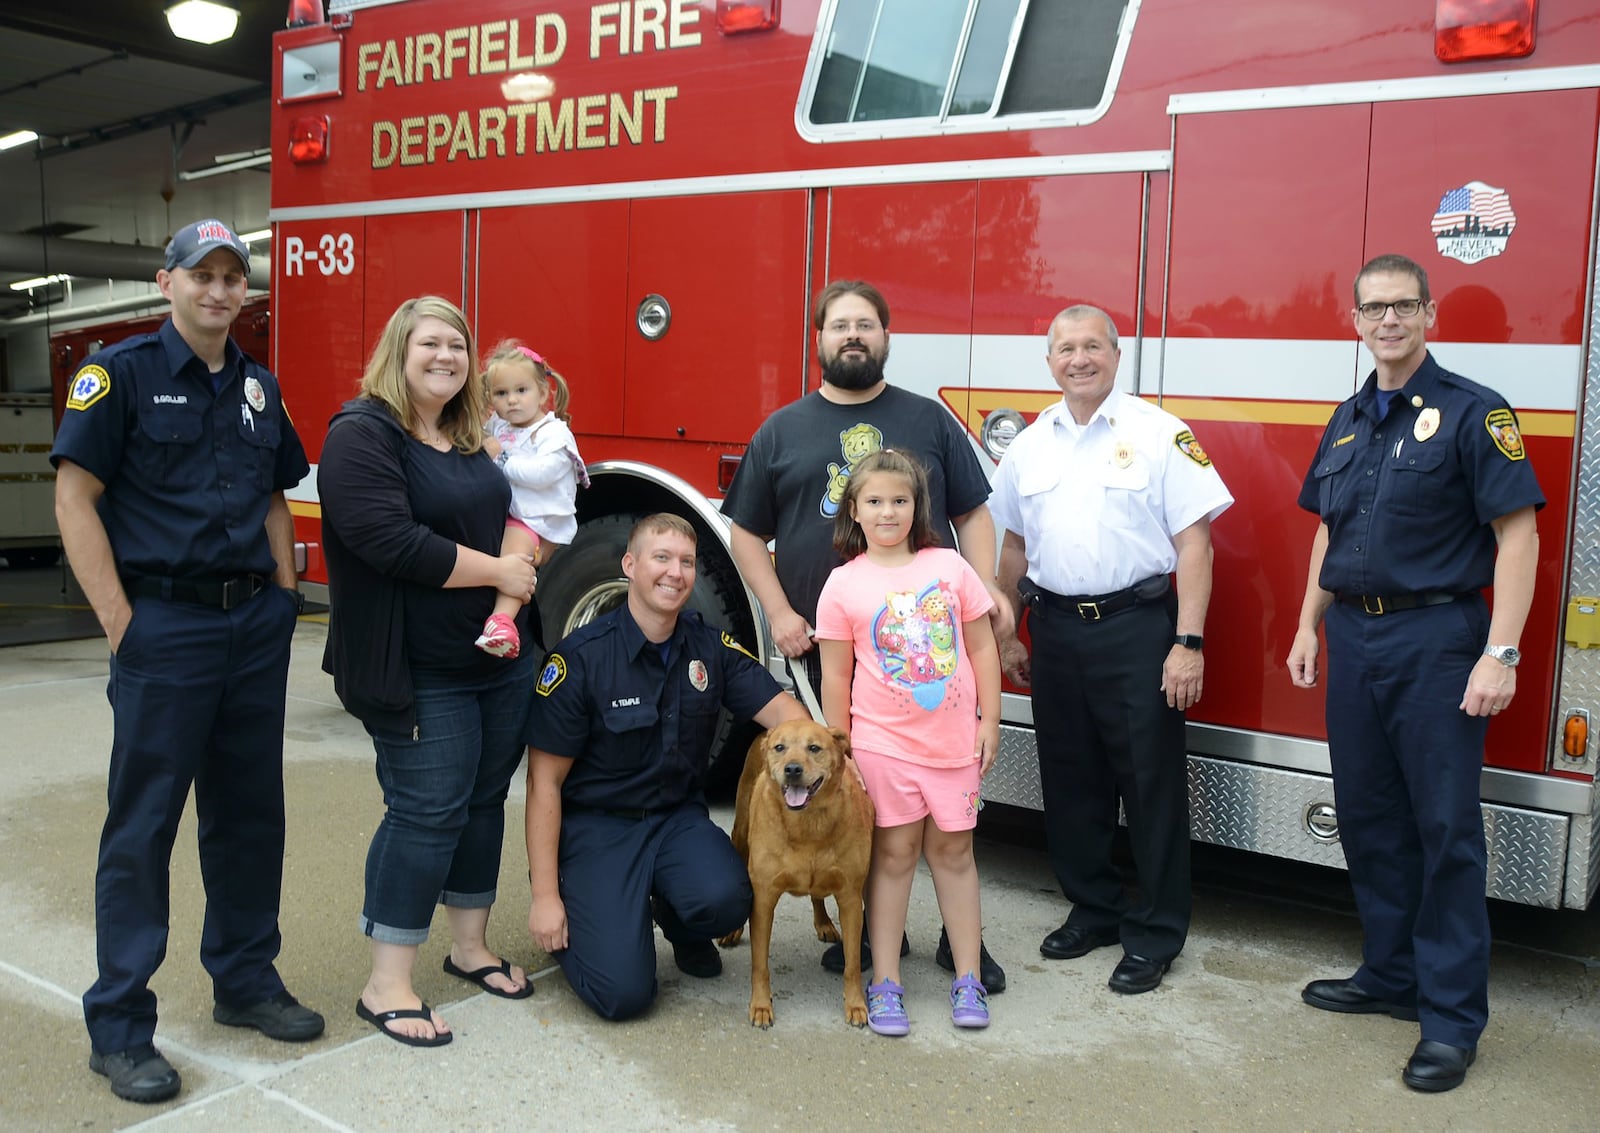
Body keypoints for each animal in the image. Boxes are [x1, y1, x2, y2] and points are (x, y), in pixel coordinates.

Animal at [720, 720, 876, 1030]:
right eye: (780, 747)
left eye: (814, 748)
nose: (792, 769)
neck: (808, 825)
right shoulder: (763, 898)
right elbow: (760, 964)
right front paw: (761, 1006)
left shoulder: (851, 899)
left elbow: (852, 964)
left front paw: (855, 1004)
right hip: (740, 835)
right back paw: (733, 930)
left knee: (817, 894)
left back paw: (824, 922)